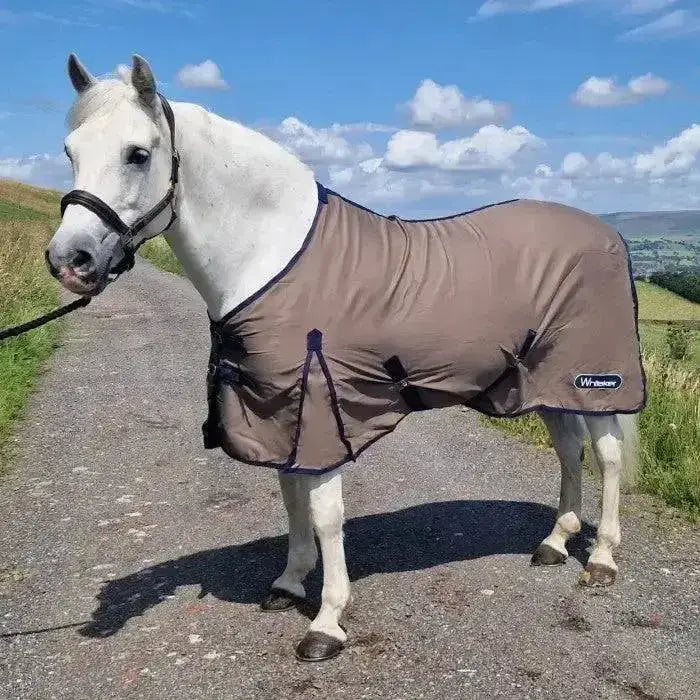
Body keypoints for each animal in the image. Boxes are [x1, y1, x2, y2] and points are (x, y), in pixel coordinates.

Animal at [46, 54, 644, 662]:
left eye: (138, 153)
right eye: (70, 150)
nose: (70, 260)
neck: (270, 254)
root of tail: (609, 233)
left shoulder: (320, 408)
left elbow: (327, 515)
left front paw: (327, 622)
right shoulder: (278, 409)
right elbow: (290, 498)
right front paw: (289, 583)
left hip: (594, 375)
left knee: (607, 456)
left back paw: (600, 560)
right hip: (546, 380)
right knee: (569, 450)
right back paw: (554, 542)